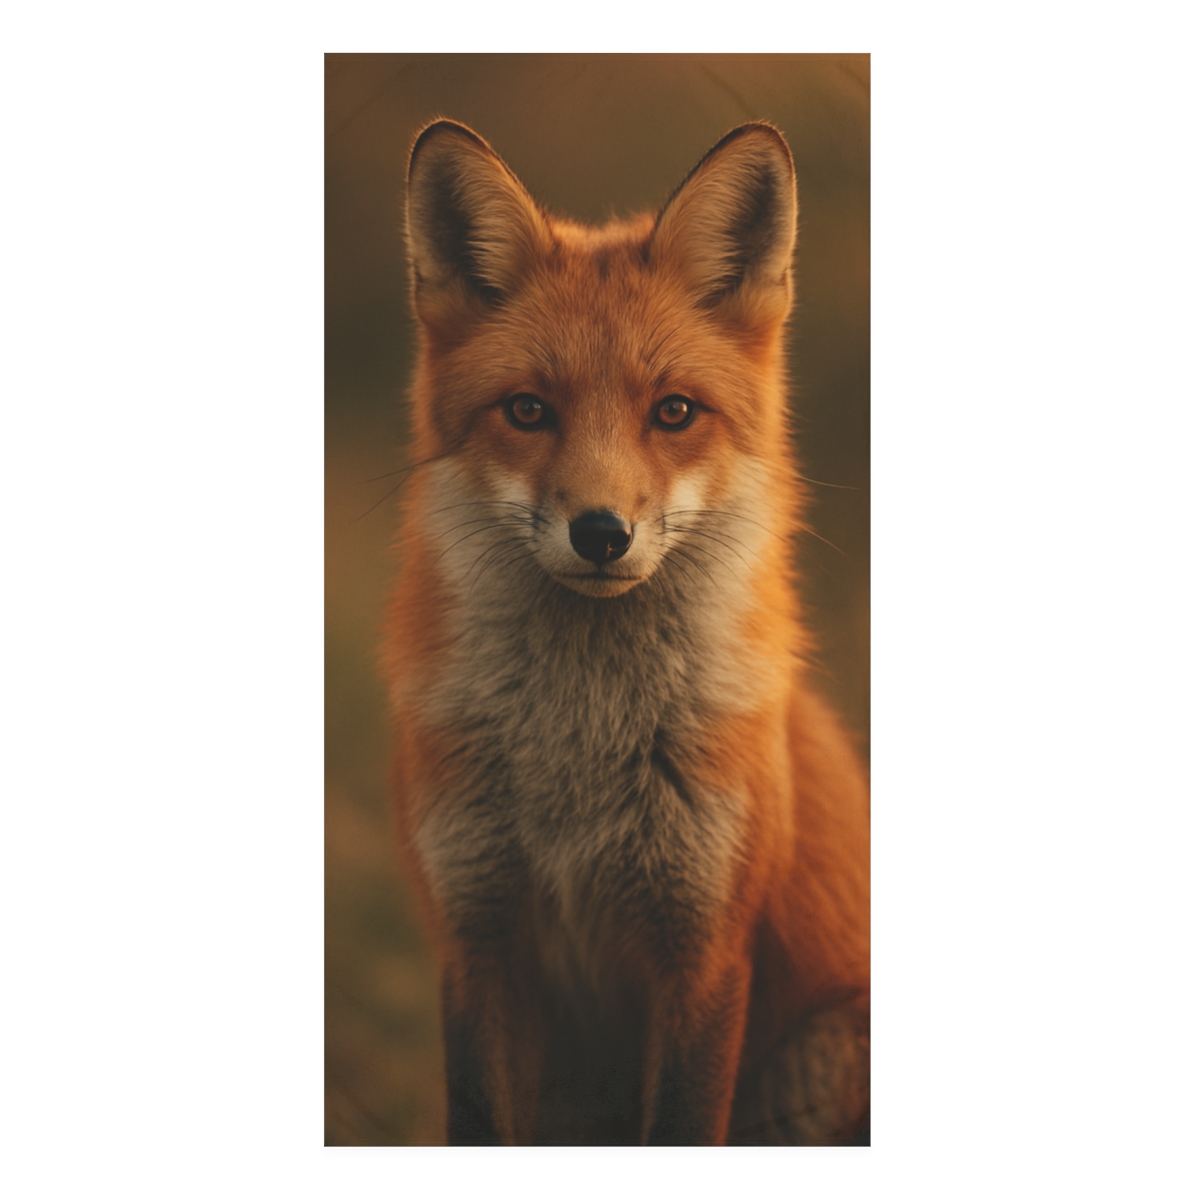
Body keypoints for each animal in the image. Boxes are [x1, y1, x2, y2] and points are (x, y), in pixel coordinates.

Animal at [382, 118, 870, 1146]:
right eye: (528, 410)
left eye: (673, 411)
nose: (601, 534)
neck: (581, 759)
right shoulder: (477, 938)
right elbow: (479, 1120)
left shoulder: (705, 950)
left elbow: (682, 1123)